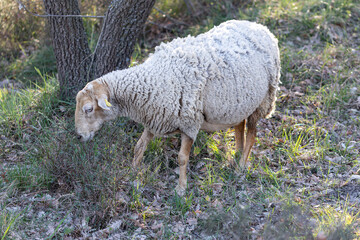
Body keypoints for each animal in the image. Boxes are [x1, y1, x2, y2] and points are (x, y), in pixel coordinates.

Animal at [74, 19, 280, 196]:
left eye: (88, 109)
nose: (79, 136)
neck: (153, 80)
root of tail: (260, 27)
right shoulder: (156, 117)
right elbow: (139, 147)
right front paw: (132, 172)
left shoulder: (189, 122)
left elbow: (182, 158)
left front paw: (181, 189)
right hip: (240, 103)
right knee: (239, 125)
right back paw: (237, 153)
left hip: (263, 100)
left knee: (252, 134)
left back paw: (241, 167)